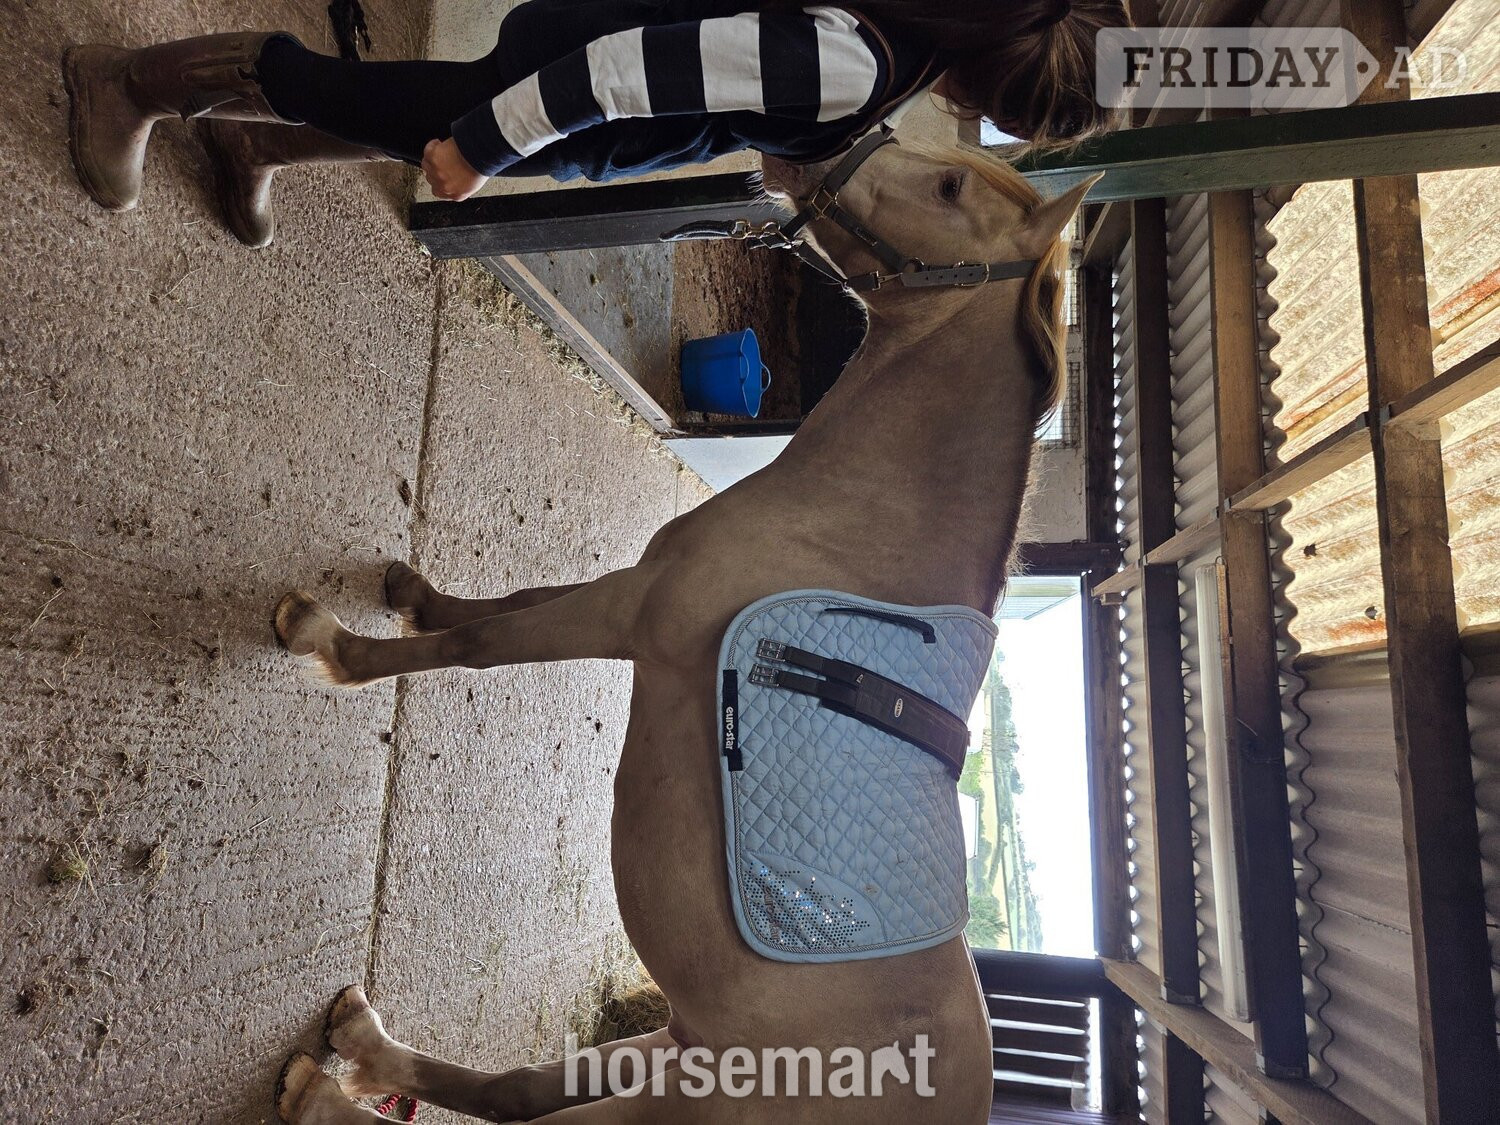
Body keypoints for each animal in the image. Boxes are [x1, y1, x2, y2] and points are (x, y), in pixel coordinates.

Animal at [269, 138, 1099, 1124]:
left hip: (659, 1100)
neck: (857, 528)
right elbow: (508, 602)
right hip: (658, 1047)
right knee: (512, 1089)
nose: (802, 150)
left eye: (949, 185)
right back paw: (366, 1047)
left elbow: (474, 647)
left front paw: (331, 646)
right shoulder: (631, 586)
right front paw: (414, 592)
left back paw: (324, 1089)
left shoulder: (627, 616)